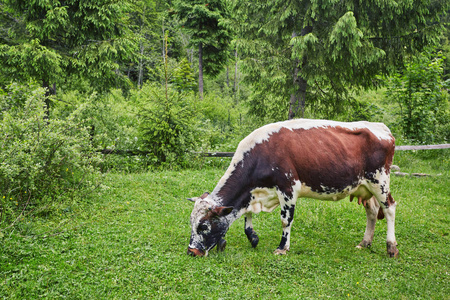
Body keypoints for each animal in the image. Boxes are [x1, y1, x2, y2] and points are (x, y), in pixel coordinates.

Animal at [186, 119, 398, 258]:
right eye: (191, 222)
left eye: (203, 226)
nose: (191, 251)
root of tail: (381, 127)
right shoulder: (253, 193)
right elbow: (247, 216)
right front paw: (253, 237)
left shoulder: (288, 188)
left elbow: (285, 220)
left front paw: (282, 248)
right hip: (365, 187)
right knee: (372, 211)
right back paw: (365, 243)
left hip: (380, 182)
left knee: (389, 208)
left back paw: (391, 247)